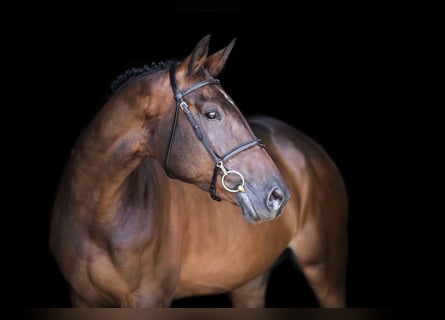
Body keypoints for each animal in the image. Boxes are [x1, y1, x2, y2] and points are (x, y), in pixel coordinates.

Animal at [48, 33, 346, 308]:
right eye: (212, 114)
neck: (96, 219)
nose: (278, 195)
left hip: (325, 272)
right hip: (249, 282)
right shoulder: (82, 299)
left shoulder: (150, 300)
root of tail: (305, 146)